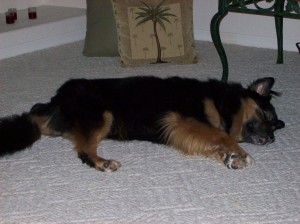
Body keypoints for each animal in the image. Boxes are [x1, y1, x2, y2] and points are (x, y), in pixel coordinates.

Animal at [0, 76, 284, 171]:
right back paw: (102, 163)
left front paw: (230, 157)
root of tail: (54, 103)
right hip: (102, 115)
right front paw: (240, 154)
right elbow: (220, 135)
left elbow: (216, 142)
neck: (220, 101)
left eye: (275, 128)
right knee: (84, 152)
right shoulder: (181, 120)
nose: (272, 138)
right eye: (267, 116)